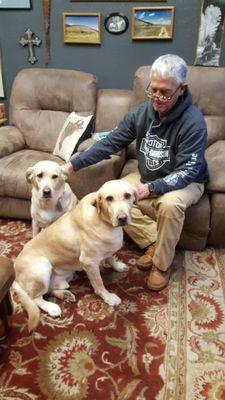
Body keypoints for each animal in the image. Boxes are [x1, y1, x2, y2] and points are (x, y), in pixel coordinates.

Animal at [14, 179, 138, 332]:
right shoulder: (89, 262)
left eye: (127, 196)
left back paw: (64, 294)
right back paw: (51, 307)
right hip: (43, 267)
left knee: (48, 290)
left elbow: (110, 258)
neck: (104, 221)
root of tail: (15, 276)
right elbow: (99, 284)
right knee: (35, 298)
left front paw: (117, 266)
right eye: (109, 198)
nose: (122, 218)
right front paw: (108, 297)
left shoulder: (107, 249)